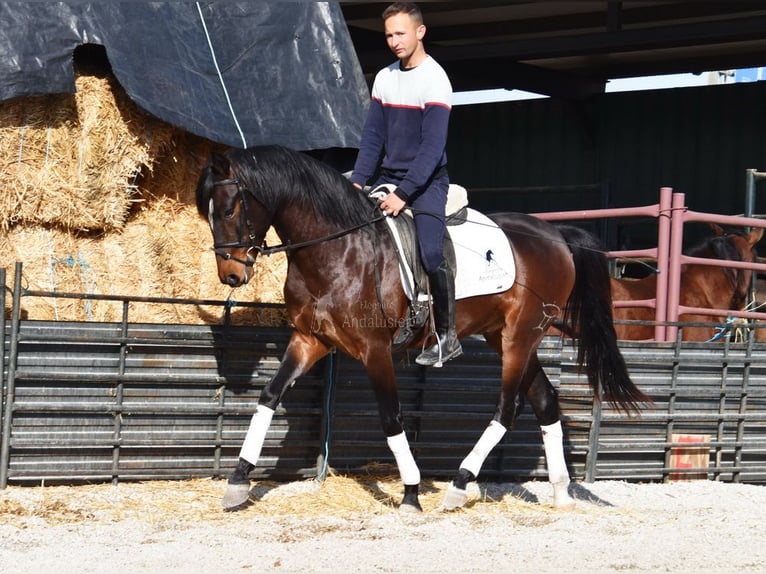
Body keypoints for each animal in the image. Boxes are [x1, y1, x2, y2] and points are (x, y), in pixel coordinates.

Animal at [195, 146, 652, 516]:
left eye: (230, 208)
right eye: (207, 214)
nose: (230, 275)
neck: (337, 249)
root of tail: (555, 233)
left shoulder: (375, 349)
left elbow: (391, 417)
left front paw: (412, 492)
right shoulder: (310, 340)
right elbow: (269, 397)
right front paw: (238, 482)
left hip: (520, 337)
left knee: (506, 409)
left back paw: (459, 485)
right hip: (506, 337)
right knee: (544, 401)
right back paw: (559, 493)